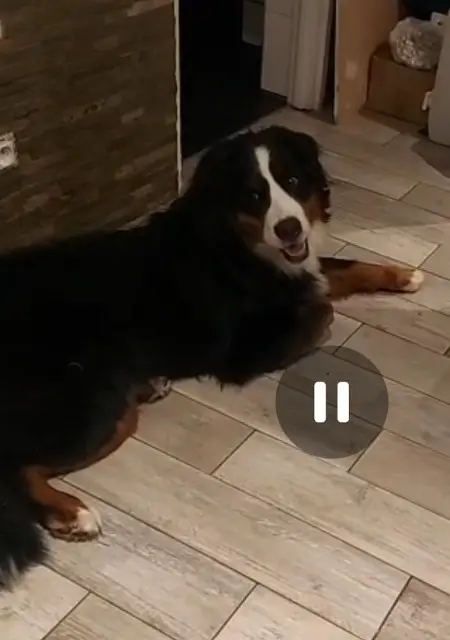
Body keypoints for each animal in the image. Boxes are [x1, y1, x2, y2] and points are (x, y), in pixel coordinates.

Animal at [0, 125, 423, 589]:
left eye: (292, 181)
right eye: (254, 195)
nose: (289, 229)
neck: (237, 244)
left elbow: (340, 268)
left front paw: (403, 275)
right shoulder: (242, 350)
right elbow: (322, 307)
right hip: (92, 402)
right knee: (18, 466)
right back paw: (71, 512)